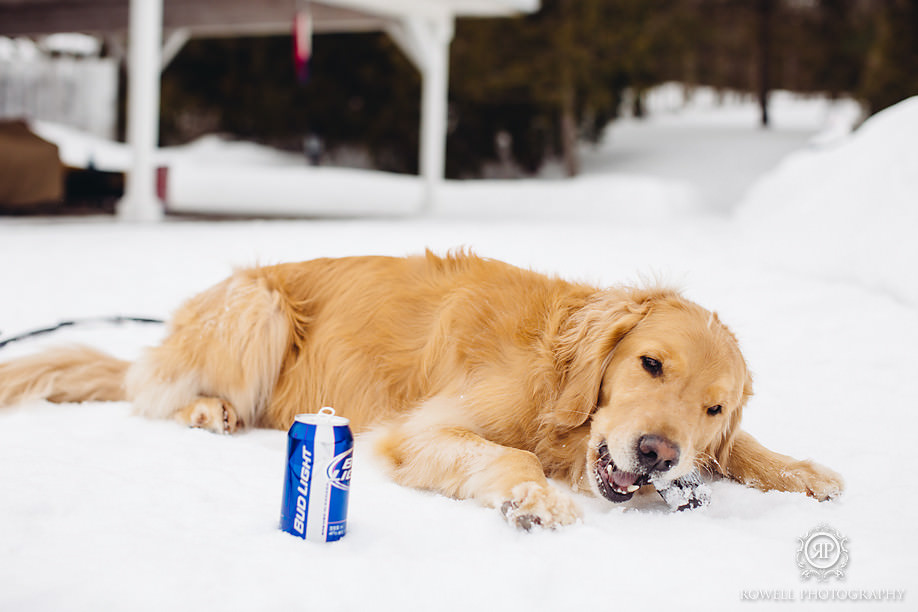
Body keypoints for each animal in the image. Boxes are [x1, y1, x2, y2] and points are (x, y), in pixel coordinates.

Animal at [0, 251, 844, 528]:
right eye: (651, 364)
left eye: (713, 408)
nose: (657, 453)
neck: (556, 389)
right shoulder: (419, 431)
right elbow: (512, 459)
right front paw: (533, 500)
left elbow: (741, 451)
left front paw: (798, 470)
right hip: (258, 305)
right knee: (149, 391)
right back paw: (210, 408)